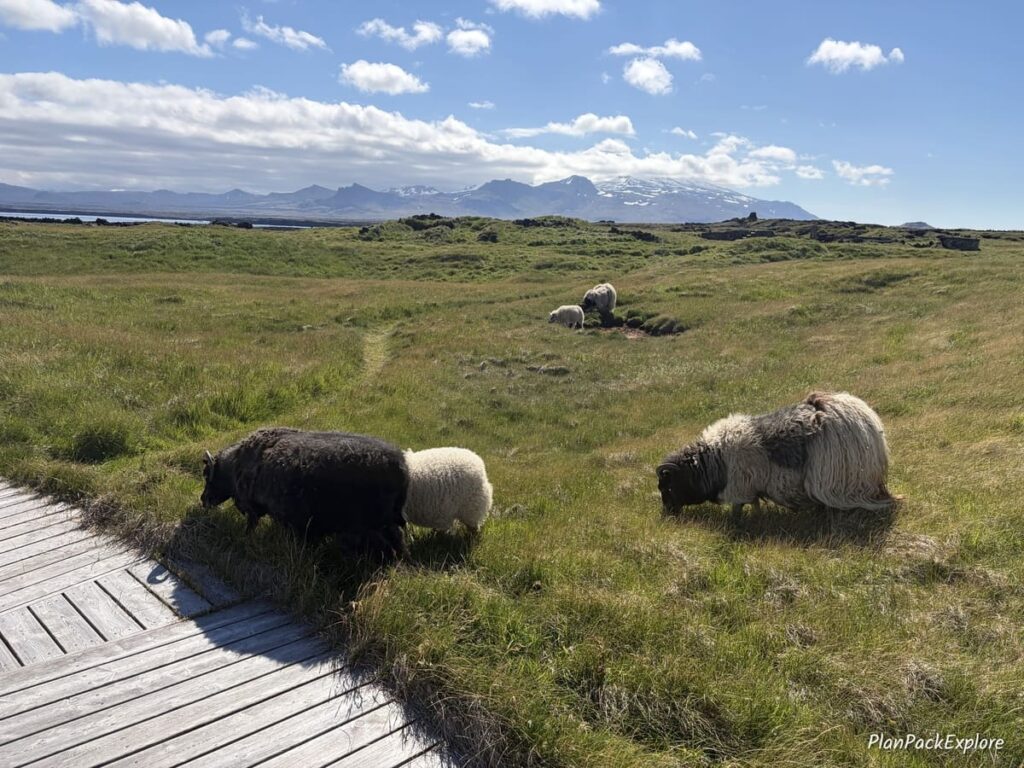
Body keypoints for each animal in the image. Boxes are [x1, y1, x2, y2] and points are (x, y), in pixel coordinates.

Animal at [201, 427, 408, 558]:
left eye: (207, 475)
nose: (203, 500)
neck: (234, 465)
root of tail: (400, 467)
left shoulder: (253, 508)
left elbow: (250, 526)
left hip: (368, 526)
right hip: (387, 522)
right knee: (397, 541)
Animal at [656, 392, 896, 523]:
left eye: (667, 486)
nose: (667, 514)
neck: (714, 461)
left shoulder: (740, 487)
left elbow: (737, 509)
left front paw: (737, 522)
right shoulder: (750, 488)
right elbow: (754, 505)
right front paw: (756, 517)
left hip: (836, 479)